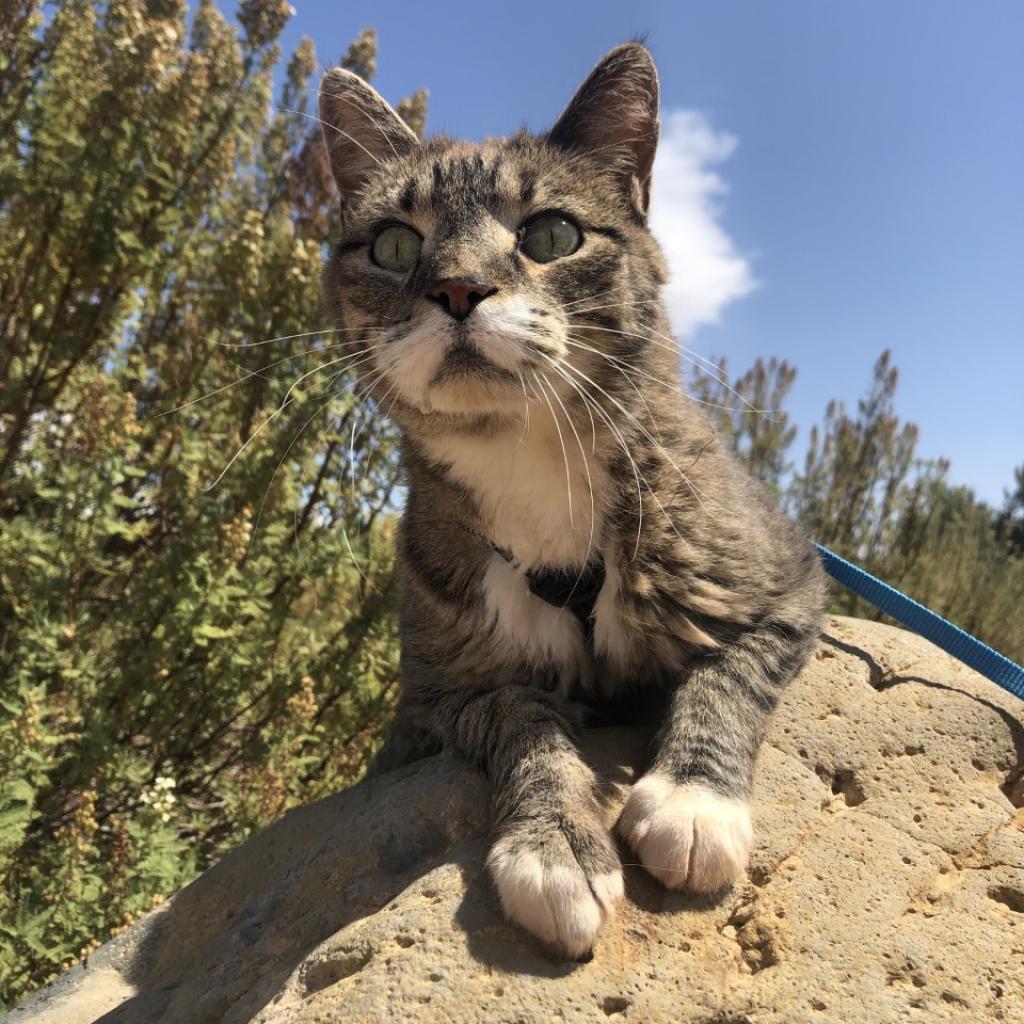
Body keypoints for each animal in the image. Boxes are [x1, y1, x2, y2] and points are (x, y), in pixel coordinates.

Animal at [315, 44, 827, 958]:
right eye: (395, 244)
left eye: (551, 233)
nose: (458, 288)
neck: (528, 457)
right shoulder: (437, 696)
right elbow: (521, 715)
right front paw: (554, 845)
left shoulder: (787, 580)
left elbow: (731, 670)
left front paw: (694, 800)